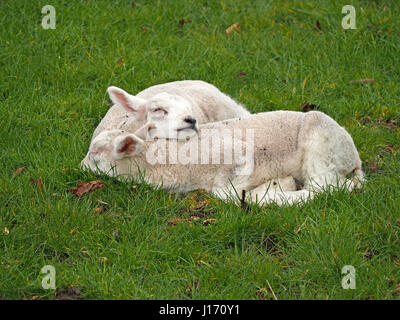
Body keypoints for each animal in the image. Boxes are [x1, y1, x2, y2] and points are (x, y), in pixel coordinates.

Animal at [80, 110, 362, 205]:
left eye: (96, 152)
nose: (80, 166)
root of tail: (355, 159)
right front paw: (277, 187)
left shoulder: (237, 153)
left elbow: (229, 193)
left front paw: (274, 191)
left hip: (321, 146)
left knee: (330, 187)